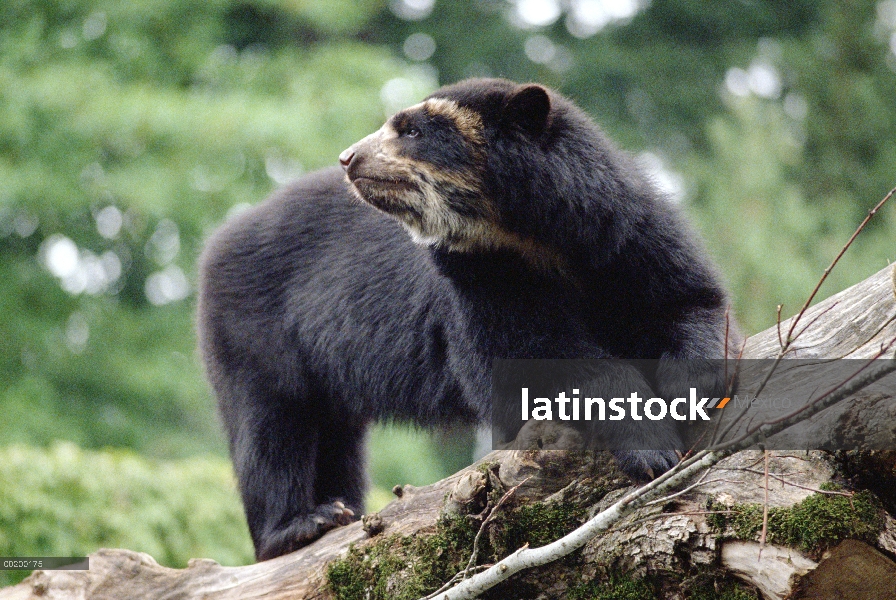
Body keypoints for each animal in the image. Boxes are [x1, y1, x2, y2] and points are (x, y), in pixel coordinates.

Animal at [198, 77, 736, 560]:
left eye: (410, 129)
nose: (348, 158)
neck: (526, 234)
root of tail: (217, 242)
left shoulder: (626, 234)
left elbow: (688, 299)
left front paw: (694, 391)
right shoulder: (477, 283)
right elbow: (527, 362)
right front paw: (651, 451)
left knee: (334, 435)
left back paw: (339, 508)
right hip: (253, 326)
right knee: (271, 422)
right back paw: (301, 525)